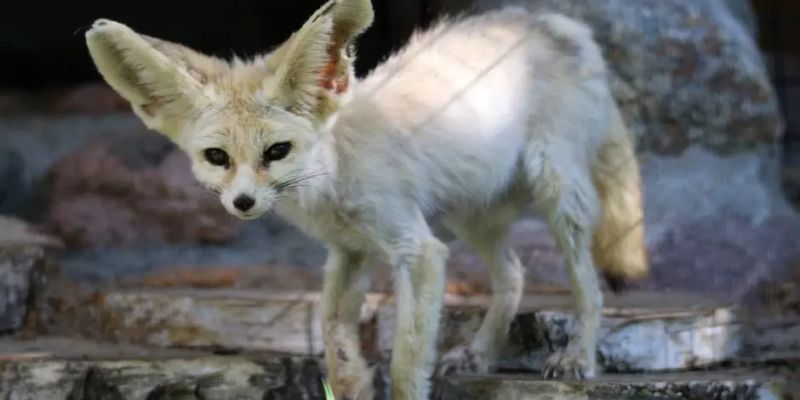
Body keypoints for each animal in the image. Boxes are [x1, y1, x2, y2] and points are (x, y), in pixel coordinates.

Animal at [86, 1, 648, 398]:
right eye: (217, 157)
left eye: (277, 151)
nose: (242, 203)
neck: (332, 181)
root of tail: (559, 23)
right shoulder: (348, 252)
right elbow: (333, 337)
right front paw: (351, 380)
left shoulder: (417, 250)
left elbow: (405, 363)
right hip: (471, 215)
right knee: (513, 275)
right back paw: (480, 353)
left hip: (553, 191)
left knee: (588, 287)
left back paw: (578, 357)